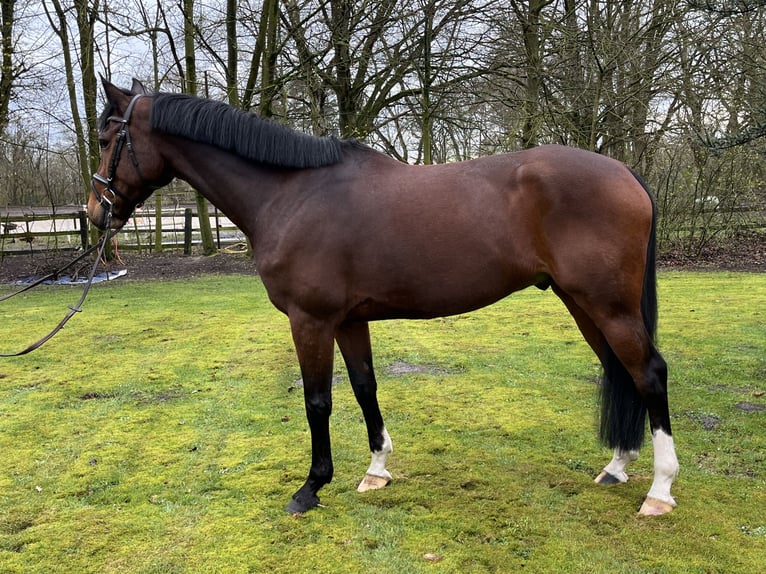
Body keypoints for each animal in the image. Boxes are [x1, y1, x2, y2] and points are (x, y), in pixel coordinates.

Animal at [87, 80, 680, 516]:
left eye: (106, 139)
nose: (96, 214)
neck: (291, 193)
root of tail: (626, 173)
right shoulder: (349, 321)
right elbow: (364, 386)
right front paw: (376, 469)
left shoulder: (310, 320)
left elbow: (317, 400)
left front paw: (311, 488)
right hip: (584, 304)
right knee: (620, 370)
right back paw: (618, 467)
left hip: (608, 305)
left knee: (649, 373)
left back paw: (659, 491)